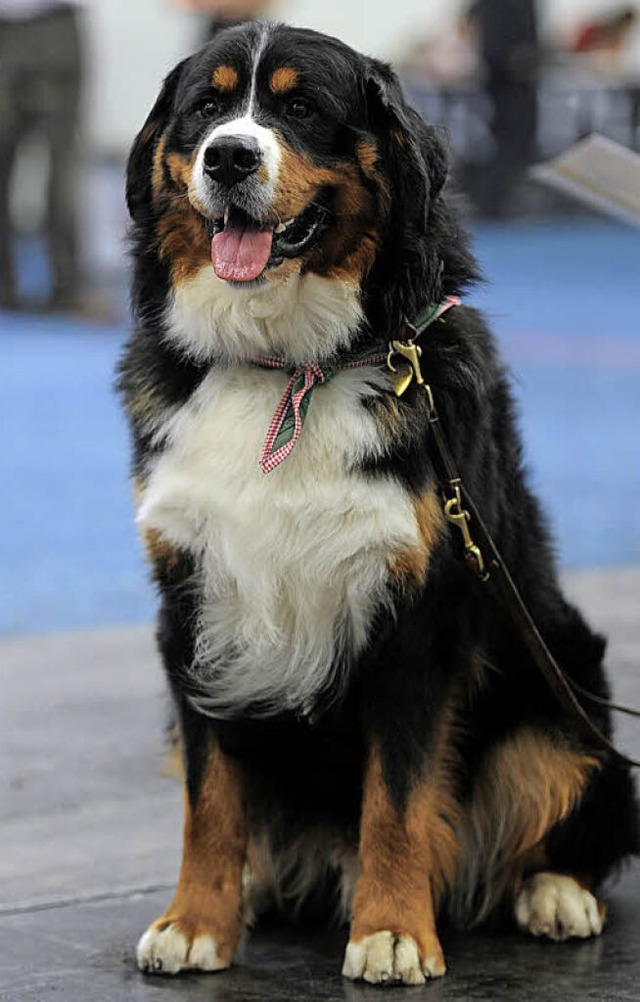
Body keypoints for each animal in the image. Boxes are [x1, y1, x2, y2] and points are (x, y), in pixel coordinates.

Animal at [117, 19, 636, 981]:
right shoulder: (193, 603)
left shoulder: (419, 612)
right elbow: (210, 796)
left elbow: (397, 797)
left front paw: (392, 931)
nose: (229, 157)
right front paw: (195, 920)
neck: (288, 366)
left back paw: (553, 893)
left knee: (576, 807)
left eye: (300, 109)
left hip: (558, 684)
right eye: (206, 107)